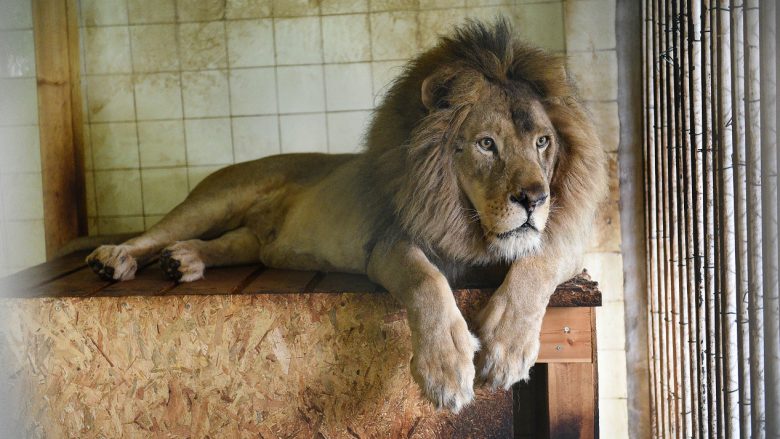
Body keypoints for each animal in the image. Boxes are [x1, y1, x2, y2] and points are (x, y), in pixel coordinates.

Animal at [87, 20, 608, 412]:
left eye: (542, 142)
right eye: (486, 144)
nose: (535, 200)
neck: (472, 226)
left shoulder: (564, 243)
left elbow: (538, 264)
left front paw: (507, 346)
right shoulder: (388, 242)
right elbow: (425, 280)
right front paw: (446, 368)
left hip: (251, 242)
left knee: (221, 245)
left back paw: (184, 261)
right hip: (214, 199)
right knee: (153, 233)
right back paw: (115, 258)